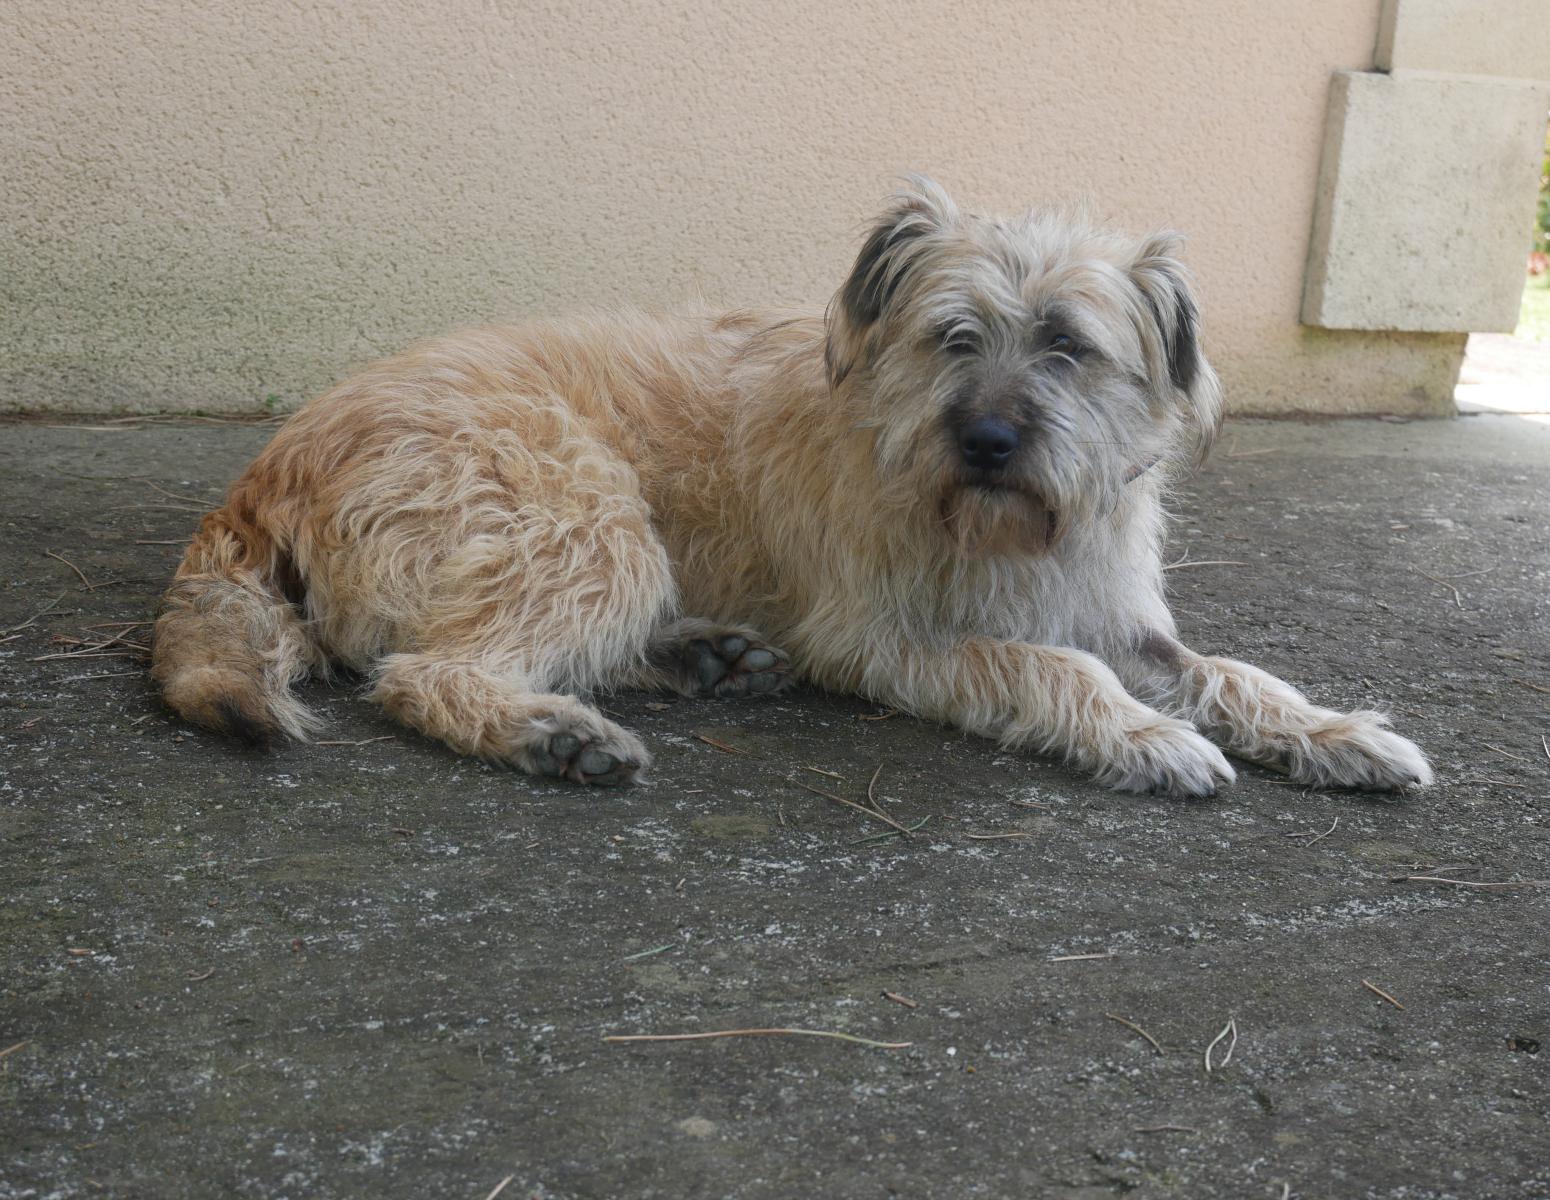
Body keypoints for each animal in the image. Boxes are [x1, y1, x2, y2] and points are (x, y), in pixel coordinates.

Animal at [152, 178, 1432, 796]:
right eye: (953, 336)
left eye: (1067, 347)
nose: (986, 442)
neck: (999, 530)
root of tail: (265, 467)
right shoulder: (883, 637)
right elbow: (1052, 668)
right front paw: (1143, 737)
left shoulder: (1112, 612)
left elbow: (1230, 672)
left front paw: (1333, 732)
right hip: (585, 518)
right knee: (430, 670)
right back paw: (551, 731)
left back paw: (701, 656)